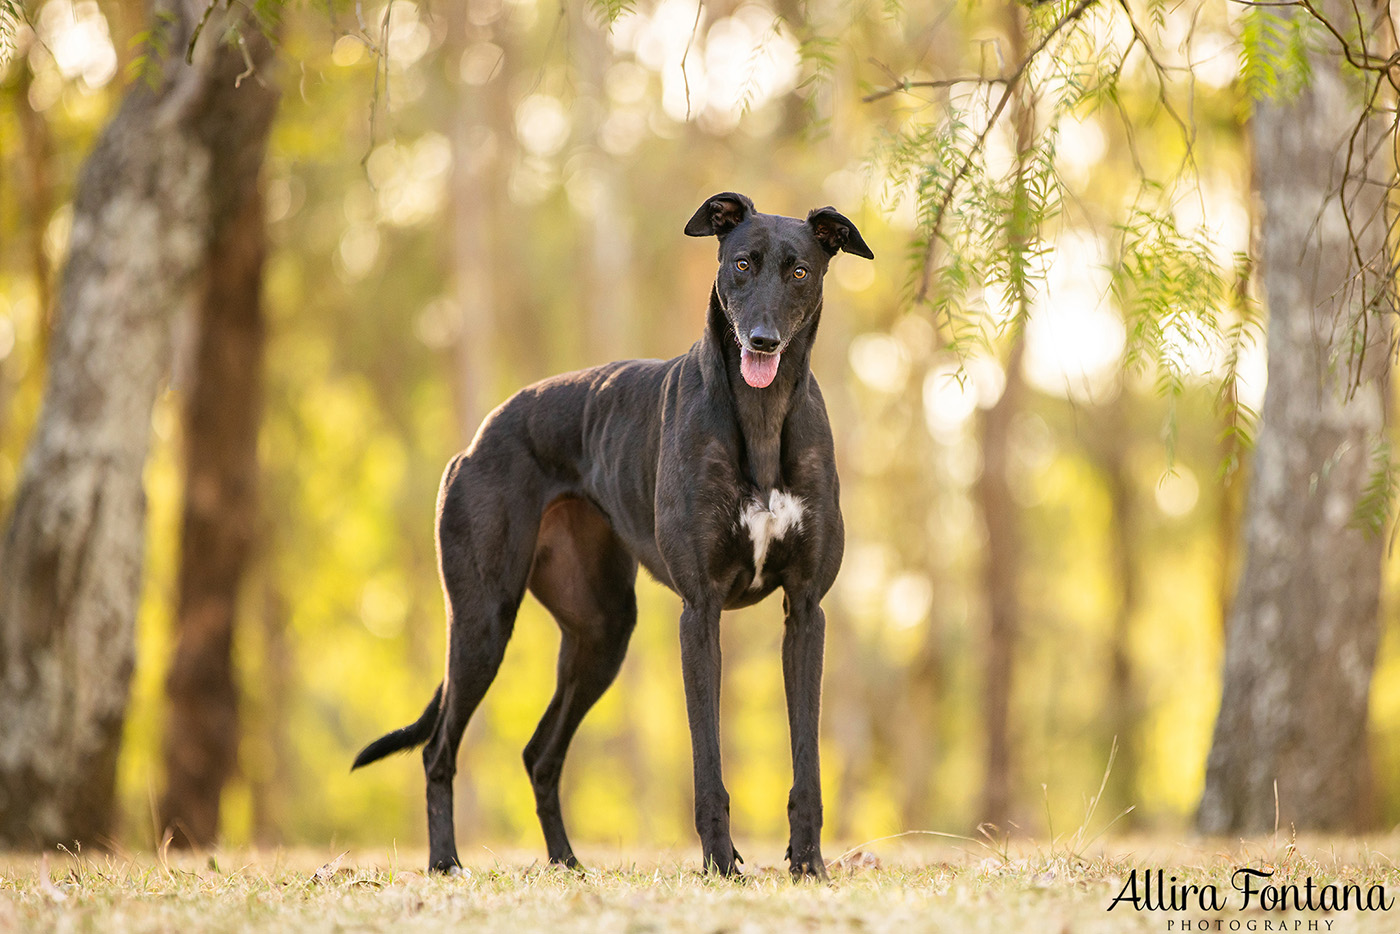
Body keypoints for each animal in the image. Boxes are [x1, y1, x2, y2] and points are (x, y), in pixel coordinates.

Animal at [352, 191, 862, 884]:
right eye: (741, 264)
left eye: (800, 272)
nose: (763, 340)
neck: (761, 419)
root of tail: (480, 436)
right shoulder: (699, 612)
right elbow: (707, 764)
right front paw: (720, 865)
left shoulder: (806, 611)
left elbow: (806, 761)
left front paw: (808, 866)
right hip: (484, 621)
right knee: (438, 749)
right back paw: (445, 865)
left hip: (601, 632)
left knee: (539, 753)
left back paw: (567, 864)